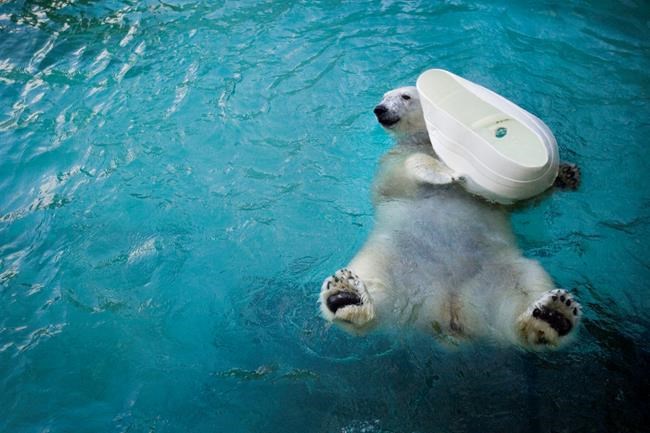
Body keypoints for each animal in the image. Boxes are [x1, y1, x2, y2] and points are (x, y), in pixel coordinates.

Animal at [319, 86, 581, 348]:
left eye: (405, 96)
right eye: (384, 97)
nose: (379, 109)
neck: (426, 143)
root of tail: (448, 312)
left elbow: (514, 202)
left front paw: (567, 174)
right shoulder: (392, 163)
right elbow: (397, 181)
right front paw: (445, 173)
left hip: (498, 273)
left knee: (525, 286)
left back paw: (553, 315)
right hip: (392, 257)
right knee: (372, 279)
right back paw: (345, 296)